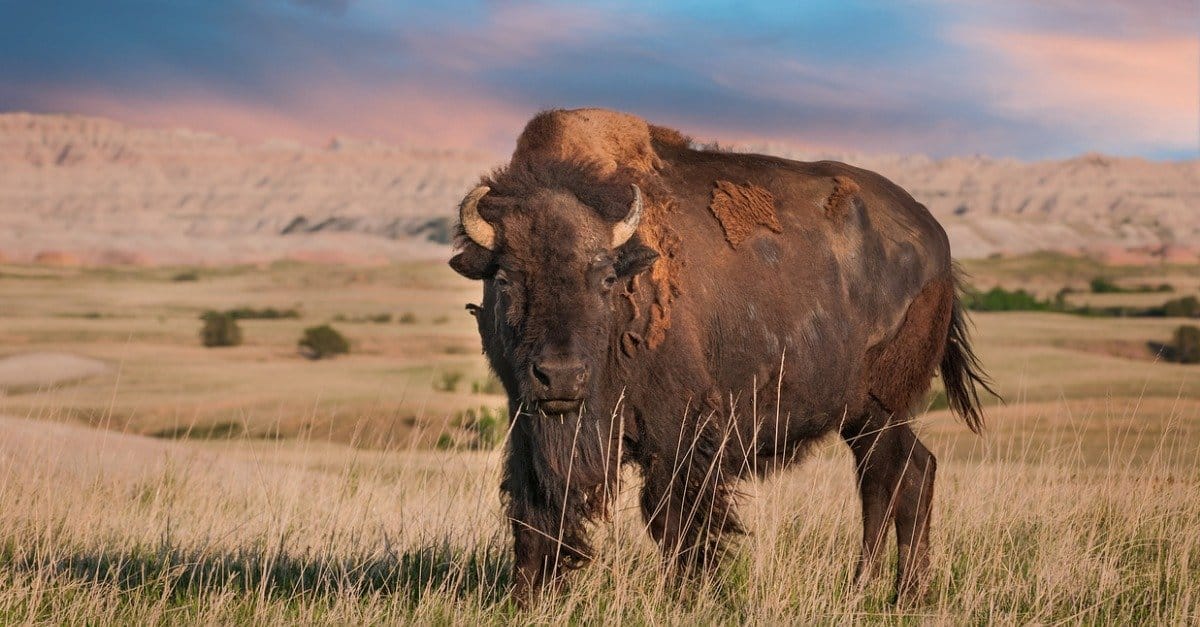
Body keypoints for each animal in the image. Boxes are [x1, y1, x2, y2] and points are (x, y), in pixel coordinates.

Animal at [451, 107, 993, 600]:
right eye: (505, 278)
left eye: (605, 278)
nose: (560, 376)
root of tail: (939, 244)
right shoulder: (527, 422)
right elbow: (533, 508)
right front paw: (528, 596)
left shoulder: (681, 431)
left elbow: (675, 518)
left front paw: (691, 593)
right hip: (865, 418)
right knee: (901, 476)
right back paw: (877, 591)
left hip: (882, 411)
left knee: (895, 478)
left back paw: (899, 592)